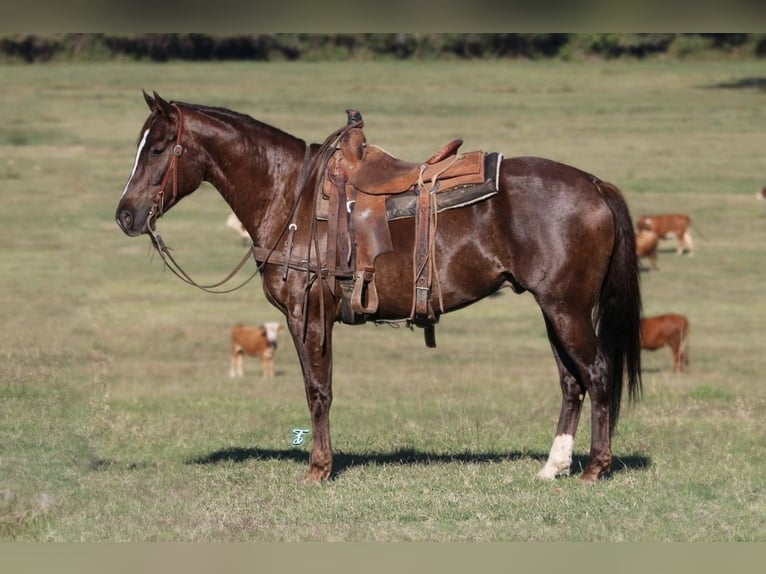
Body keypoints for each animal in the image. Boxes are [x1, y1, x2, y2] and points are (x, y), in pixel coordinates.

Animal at [115, 93, 640, 486]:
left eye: (158, 149)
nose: (124, 215)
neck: (291, 198)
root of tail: (595, 184)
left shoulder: (306, 315)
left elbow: (317, 389)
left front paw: (319, 469)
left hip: (567, 309)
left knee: (596, 372)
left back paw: (595, 468)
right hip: (554, 309)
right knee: (571, 381)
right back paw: (553, 467)